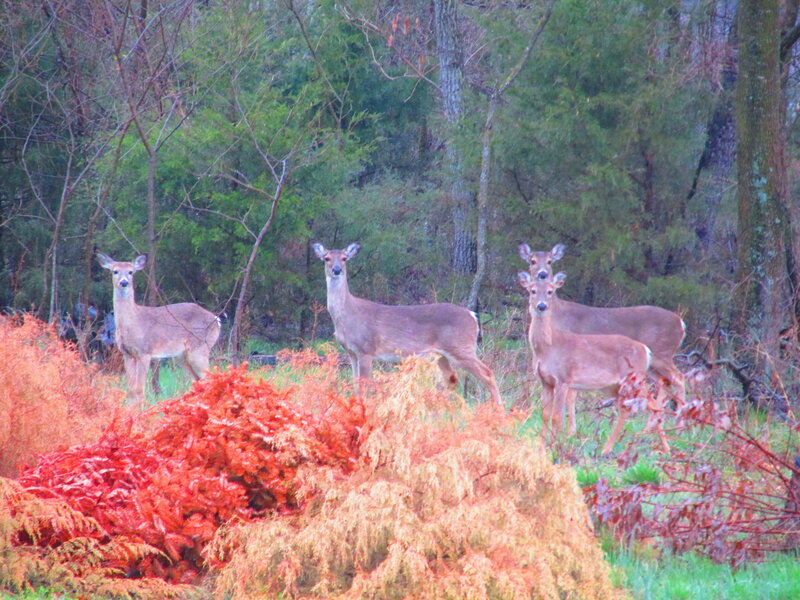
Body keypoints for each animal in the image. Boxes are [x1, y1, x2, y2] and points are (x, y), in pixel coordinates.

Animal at [97, 253, 221, 405]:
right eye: (115, 271)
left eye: (131, 272)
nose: (124, 282)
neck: (132, 323)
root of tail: (216, 320)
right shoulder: (127, 354)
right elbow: (131, 391)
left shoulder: (145, 351)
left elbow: (139, 390)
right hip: (182, 356)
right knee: (198, 381)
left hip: (199, 348)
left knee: (210, 379)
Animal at [312, 242, 502, 406]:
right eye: (326, 258)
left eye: (345, 258)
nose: (337, 270)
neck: (347, 316)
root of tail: (472, 316)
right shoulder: (351, 352)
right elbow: (356, 383)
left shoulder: (366, 349)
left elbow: (366, 385)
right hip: (442, 354)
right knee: (451, 379)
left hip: (461, 347)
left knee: (488, 373)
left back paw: (499, 410)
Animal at [518, 242, 686, 434]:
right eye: (532, 261)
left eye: (550, 261)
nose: (542, 274)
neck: (557, 315)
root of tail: (681, 323)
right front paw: (570, 431)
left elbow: (571, 395)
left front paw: (570, 431)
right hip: (653, 364)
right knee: (664, 383)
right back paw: (652, 428)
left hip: (662, 353)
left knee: (679, 378)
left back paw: (679, 427)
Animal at [518, 271, 669, 455]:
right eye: (532, 291)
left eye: (550, 291)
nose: (541, 306)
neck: (547, 348)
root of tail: (645, 350)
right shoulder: (545, 381)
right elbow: (545, 414)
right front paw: (541, 448)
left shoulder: (563, 379)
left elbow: (557, 417)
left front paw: (553, 447)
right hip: (614, 386)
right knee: (630, 408)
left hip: (634, 378)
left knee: (651, 404)